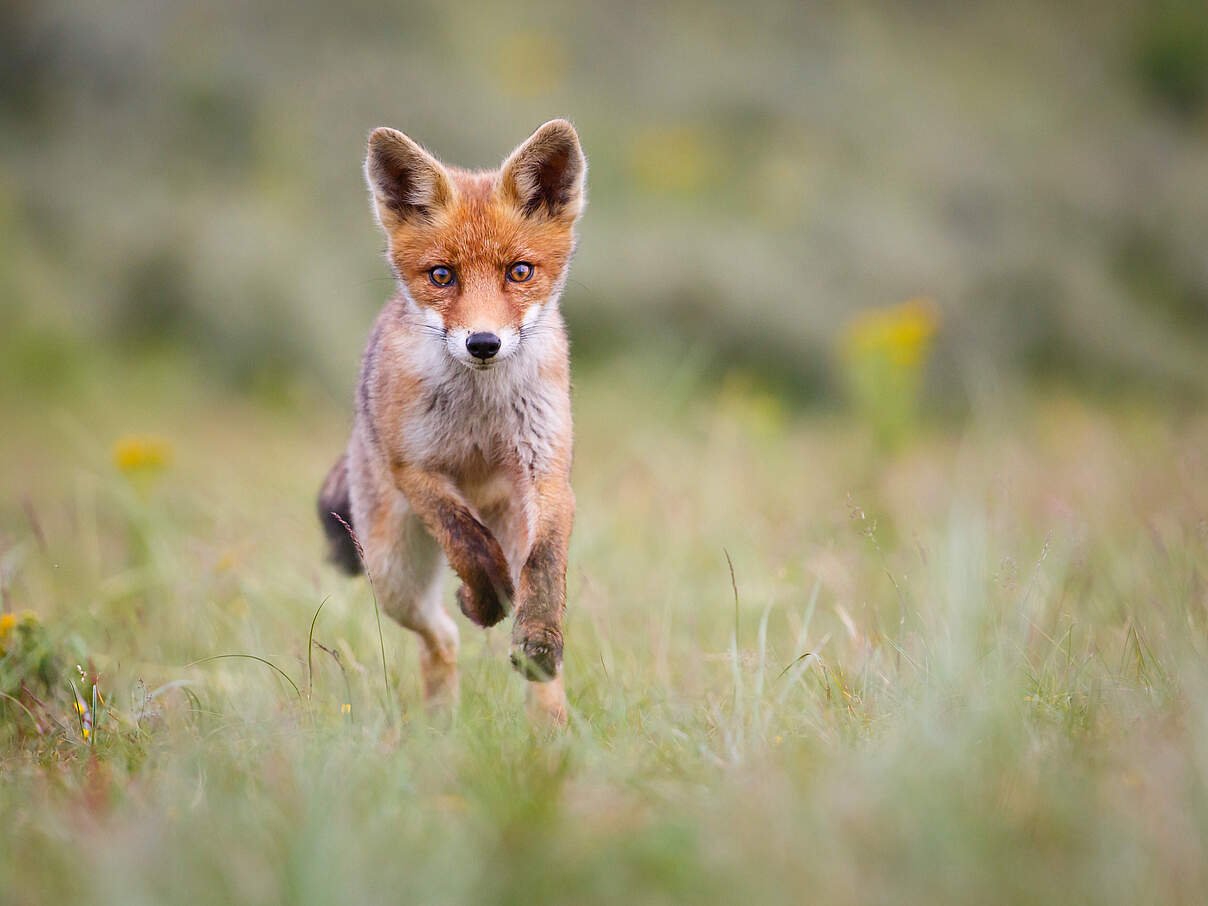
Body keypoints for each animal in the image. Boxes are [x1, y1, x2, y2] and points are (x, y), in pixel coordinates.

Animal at [317, 119, 586, 725]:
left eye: (519, 272)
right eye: (442, 276)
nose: (483, 343)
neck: (480, 416)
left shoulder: (546, 468)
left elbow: (542, 566)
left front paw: (537, 639)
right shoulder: (415, 469)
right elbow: (467, 540)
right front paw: (483, 597)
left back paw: (551, 728)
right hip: (392, 572)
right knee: (440, 637)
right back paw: (441, 718)